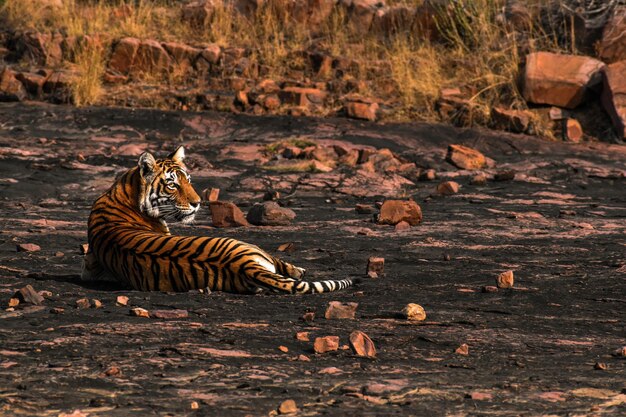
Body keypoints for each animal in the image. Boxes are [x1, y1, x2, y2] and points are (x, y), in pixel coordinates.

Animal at [84, 145, 356, 294]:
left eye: (188, 180)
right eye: (172, 184)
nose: (197, 202)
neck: (124, 191)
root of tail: (246, 265)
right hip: (250, 246)